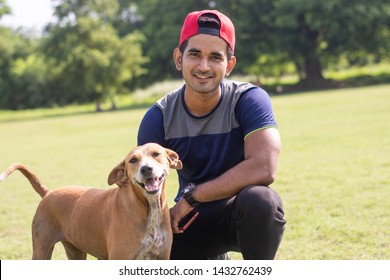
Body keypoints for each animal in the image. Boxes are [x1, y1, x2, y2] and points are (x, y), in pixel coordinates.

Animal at [0, 143, 183, 260]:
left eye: (156, 154)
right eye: (133, 160)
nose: (146, 169)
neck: (147, 206)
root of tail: (49, 193)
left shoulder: (161, 257)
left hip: (76, 252)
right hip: (41, 250)